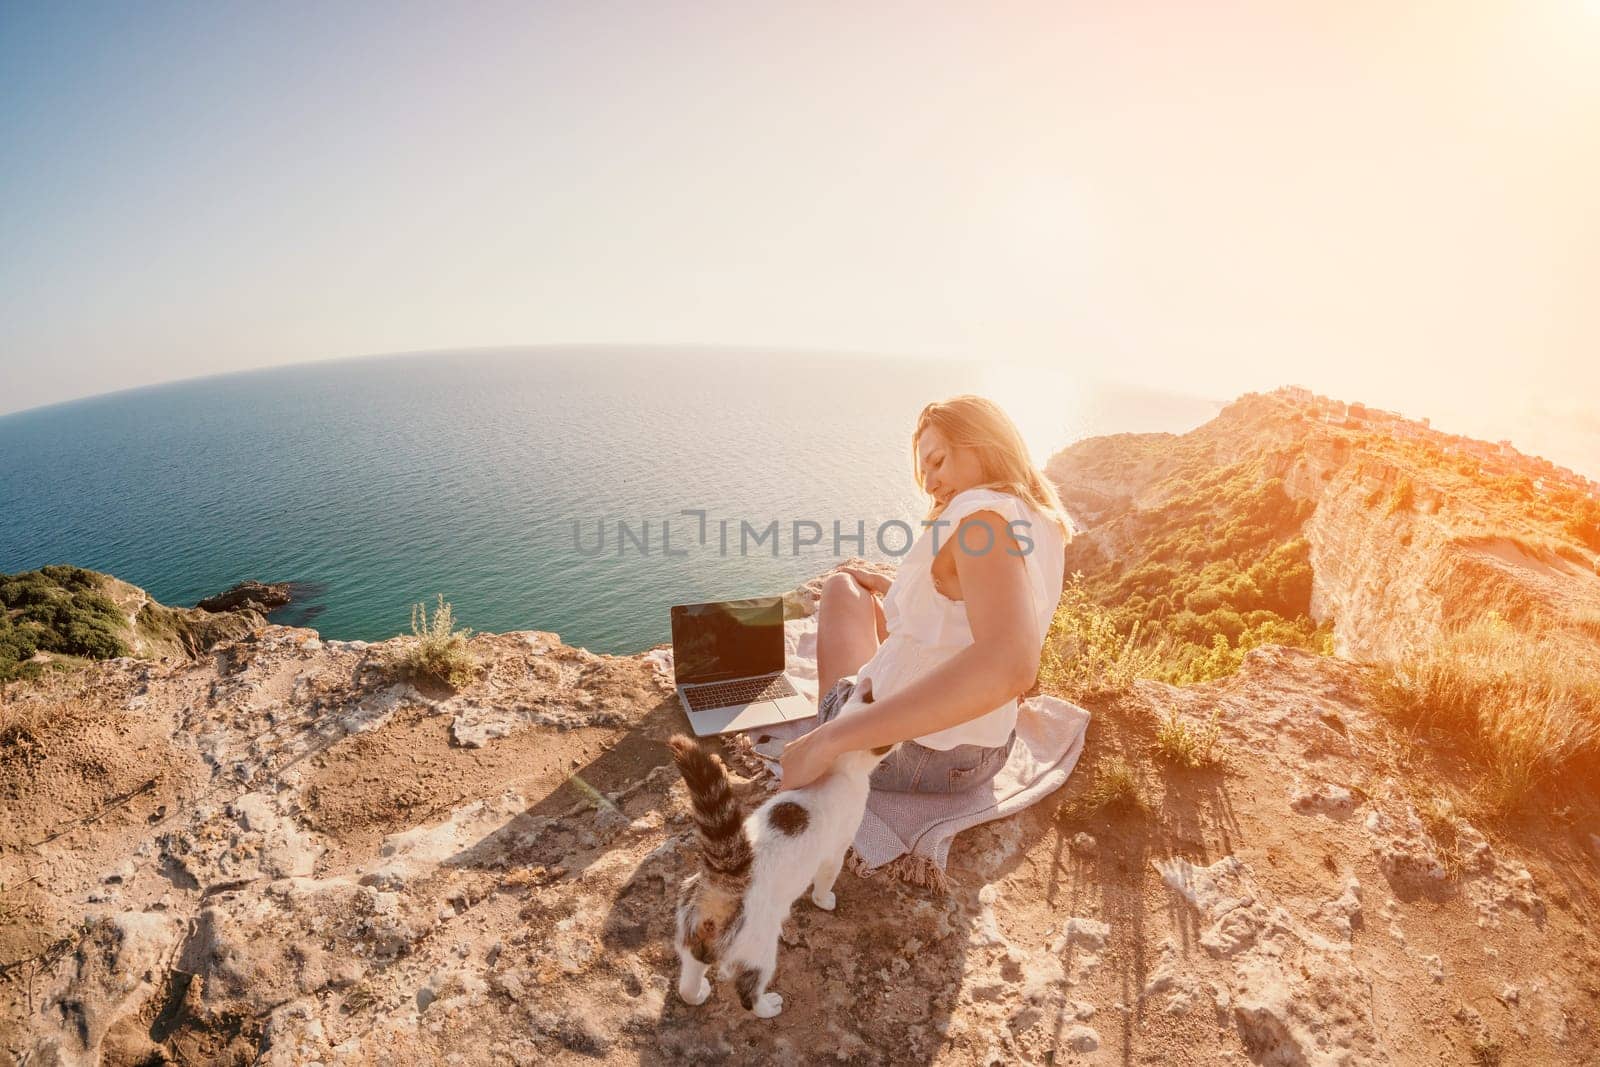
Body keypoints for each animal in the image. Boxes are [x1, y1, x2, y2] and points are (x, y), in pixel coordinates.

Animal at [662, 687, 889, 1017]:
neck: (838, 771)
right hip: (760, 951)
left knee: (687, 982)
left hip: (690, 940)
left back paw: (698, 992)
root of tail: (721, 884)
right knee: (748, 994)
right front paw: (824, 900)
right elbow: (826, 881)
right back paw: (768, 1006)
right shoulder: (836, 850)